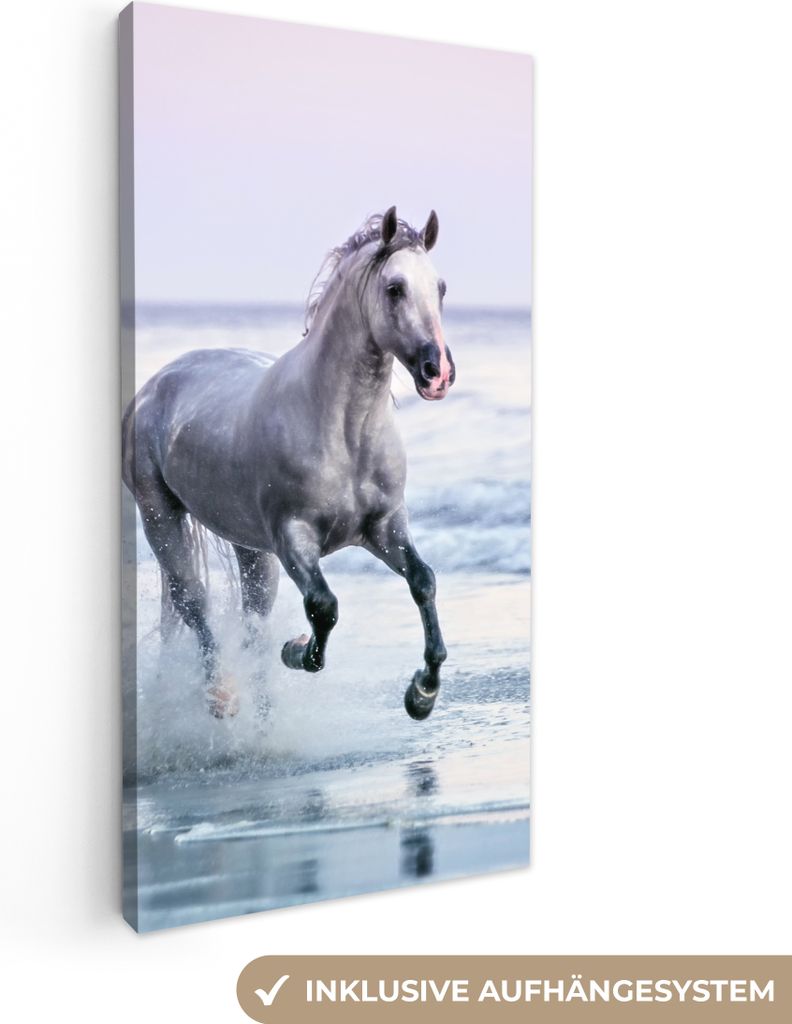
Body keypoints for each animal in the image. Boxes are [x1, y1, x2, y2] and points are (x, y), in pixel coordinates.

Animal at [122, 206, 455, 721]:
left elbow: (423, 581)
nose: (437, 373)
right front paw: (297, 650)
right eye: (394, 288)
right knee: (193, 601)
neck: (344, 431)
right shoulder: (293, 538)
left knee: (252, 620)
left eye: (439, 288)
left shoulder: (384, 527)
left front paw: (421, 694)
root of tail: (155, 385)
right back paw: (221, 694)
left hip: (249, 548)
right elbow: (324, 607)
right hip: (160, 517)